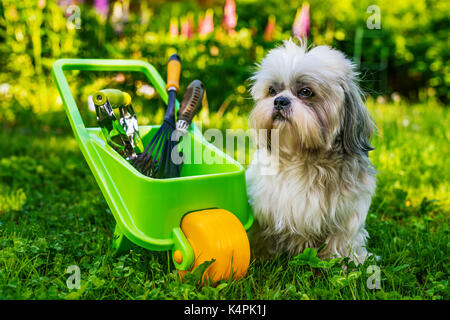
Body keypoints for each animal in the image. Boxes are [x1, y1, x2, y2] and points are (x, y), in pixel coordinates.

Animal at [246, 38, 376, 264]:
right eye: (272, 91)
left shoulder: (348, 212)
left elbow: (342, 239)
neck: (303, 158)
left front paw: (346, 262)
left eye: (306, 92)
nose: (280, 101)